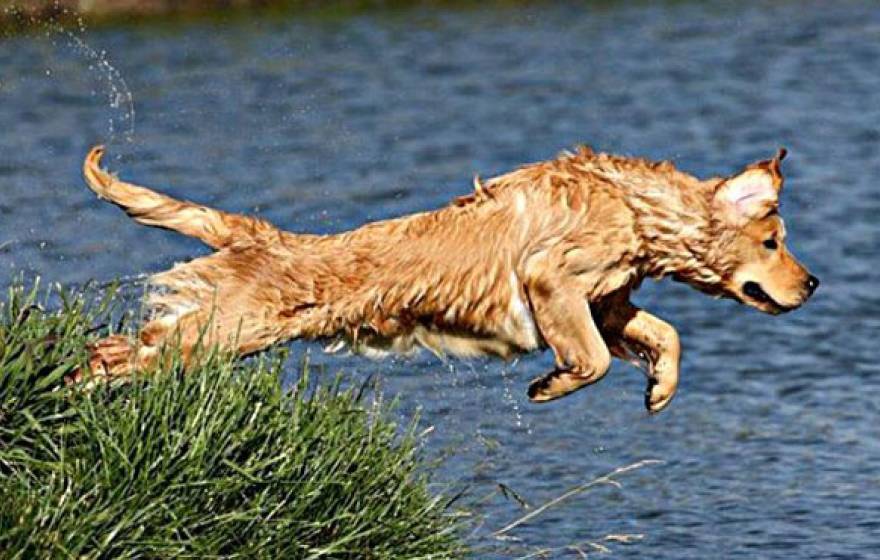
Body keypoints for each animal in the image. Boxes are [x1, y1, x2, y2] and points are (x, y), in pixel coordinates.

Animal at [75, 144, 820, 414]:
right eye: (773, 241)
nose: (812, 284)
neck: (634, 206)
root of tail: (267, 237)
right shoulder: (551, 278)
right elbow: (595, 359)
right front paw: (551, 384)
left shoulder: (607, 302)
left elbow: (663, 336)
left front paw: (660, 389)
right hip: (224, 330)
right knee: (115, 354)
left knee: (122, 348)